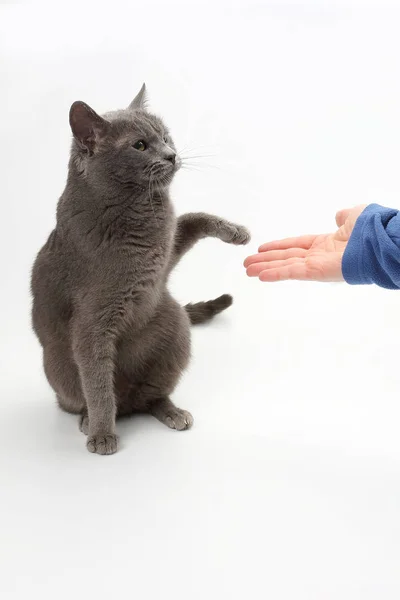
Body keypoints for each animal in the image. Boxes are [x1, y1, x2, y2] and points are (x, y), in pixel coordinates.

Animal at [32, 85, 250, 454]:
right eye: (139, 145)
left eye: (165, 136)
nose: (172, 155)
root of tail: (129, 405)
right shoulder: (92, 323)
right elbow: (98, 383)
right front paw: (102, 435)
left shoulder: (166, 253)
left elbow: (191, 219)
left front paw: (235, 231)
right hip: (60, 369)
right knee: (89, 397)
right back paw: (90, 420)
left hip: (174, 325)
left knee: (151, 396)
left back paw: (172, 412)